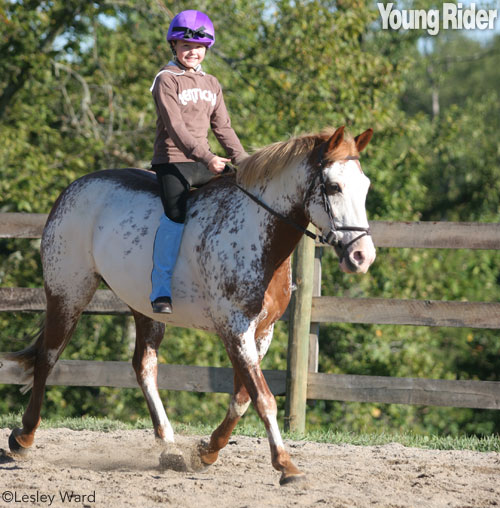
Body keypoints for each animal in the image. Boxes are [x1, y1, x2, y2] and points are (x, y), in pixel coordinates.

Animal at [5, 126, 376, 484]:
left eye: (365, 187)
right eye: (333, 186)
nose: (362, 256)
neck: (259, 232)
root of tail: (74, 187)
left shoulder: (262, 332)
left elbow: (242, 398)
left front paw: (207, 451)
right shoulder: (235, 329)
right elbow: (263, 398)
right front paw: (286, 466)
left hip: (144, 307)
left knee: (144, 367)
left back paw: (169, 448)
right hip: (68, 293)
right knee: (48, 357)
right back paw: (23, 437)